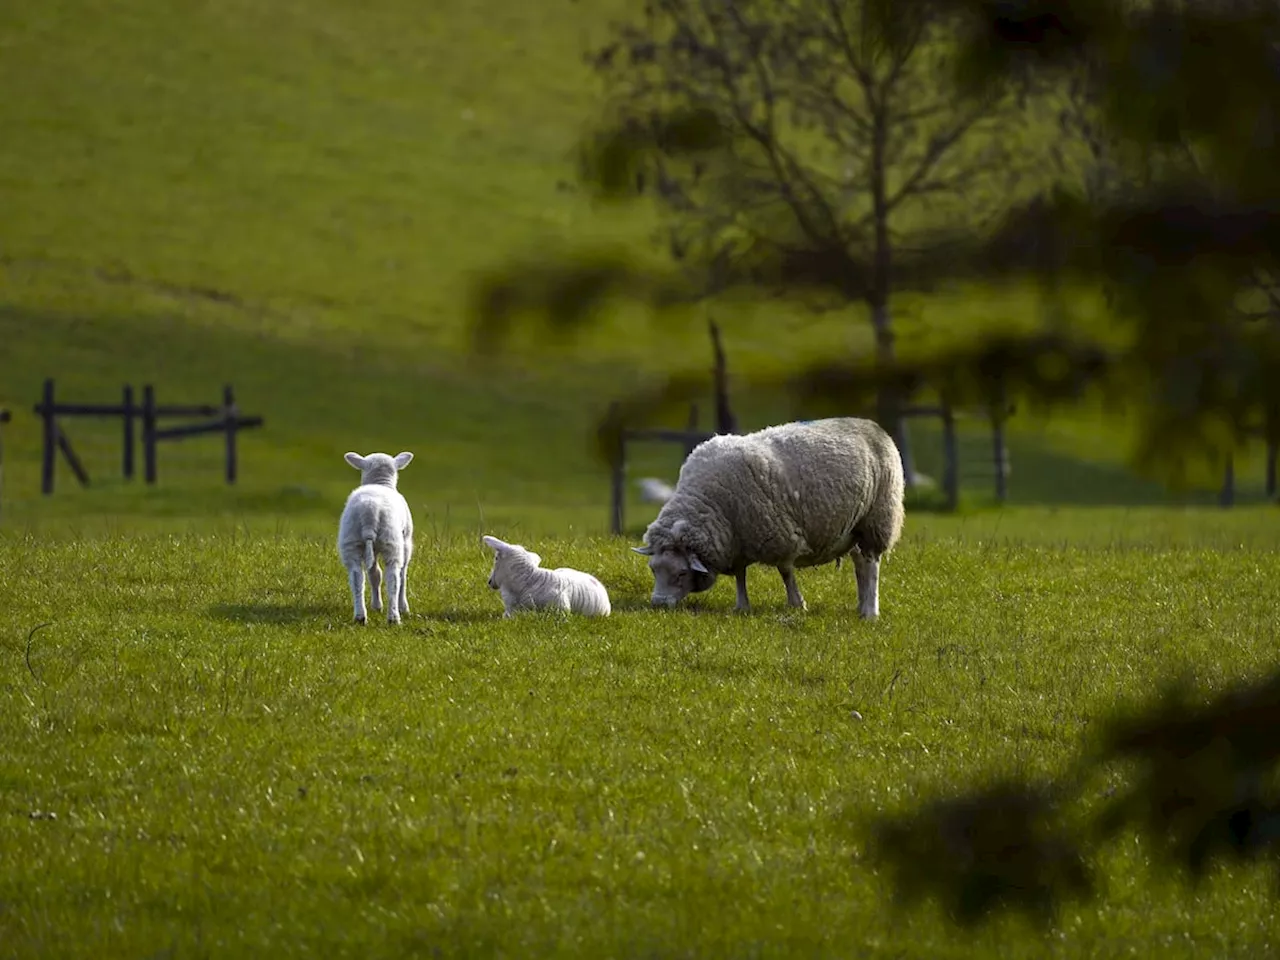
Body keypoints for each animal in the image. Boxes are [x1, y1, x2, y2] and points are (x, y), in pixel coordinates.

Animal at [335, 453, 414, 627]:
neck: (380, 482)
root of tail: (369, 512)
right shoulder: (406, 541)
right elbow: (402, 575)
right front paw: (403, 607)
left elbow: (374, 575)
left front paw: (377, 606)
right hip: (392, 541)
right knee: (393, 579)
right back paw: (394, 617)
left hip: (351, 541)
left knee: (357, 578)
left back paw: (360, 616)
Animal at [634, 417, 906, 619]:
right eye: (653, 569)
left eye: (681, 573)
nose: (658, 604)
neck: (709, 502)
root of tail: (872, 425)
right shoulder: (737, 539)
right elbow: (740, 574)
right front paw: (742, 606)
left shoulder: (779, 535)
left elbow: (785, 572)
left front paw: (797, 604)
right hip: (855, 528)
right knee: (860, 563)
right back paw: (861, 607)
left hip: (877, 518)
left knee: (872, 564)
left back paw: (871, 612)